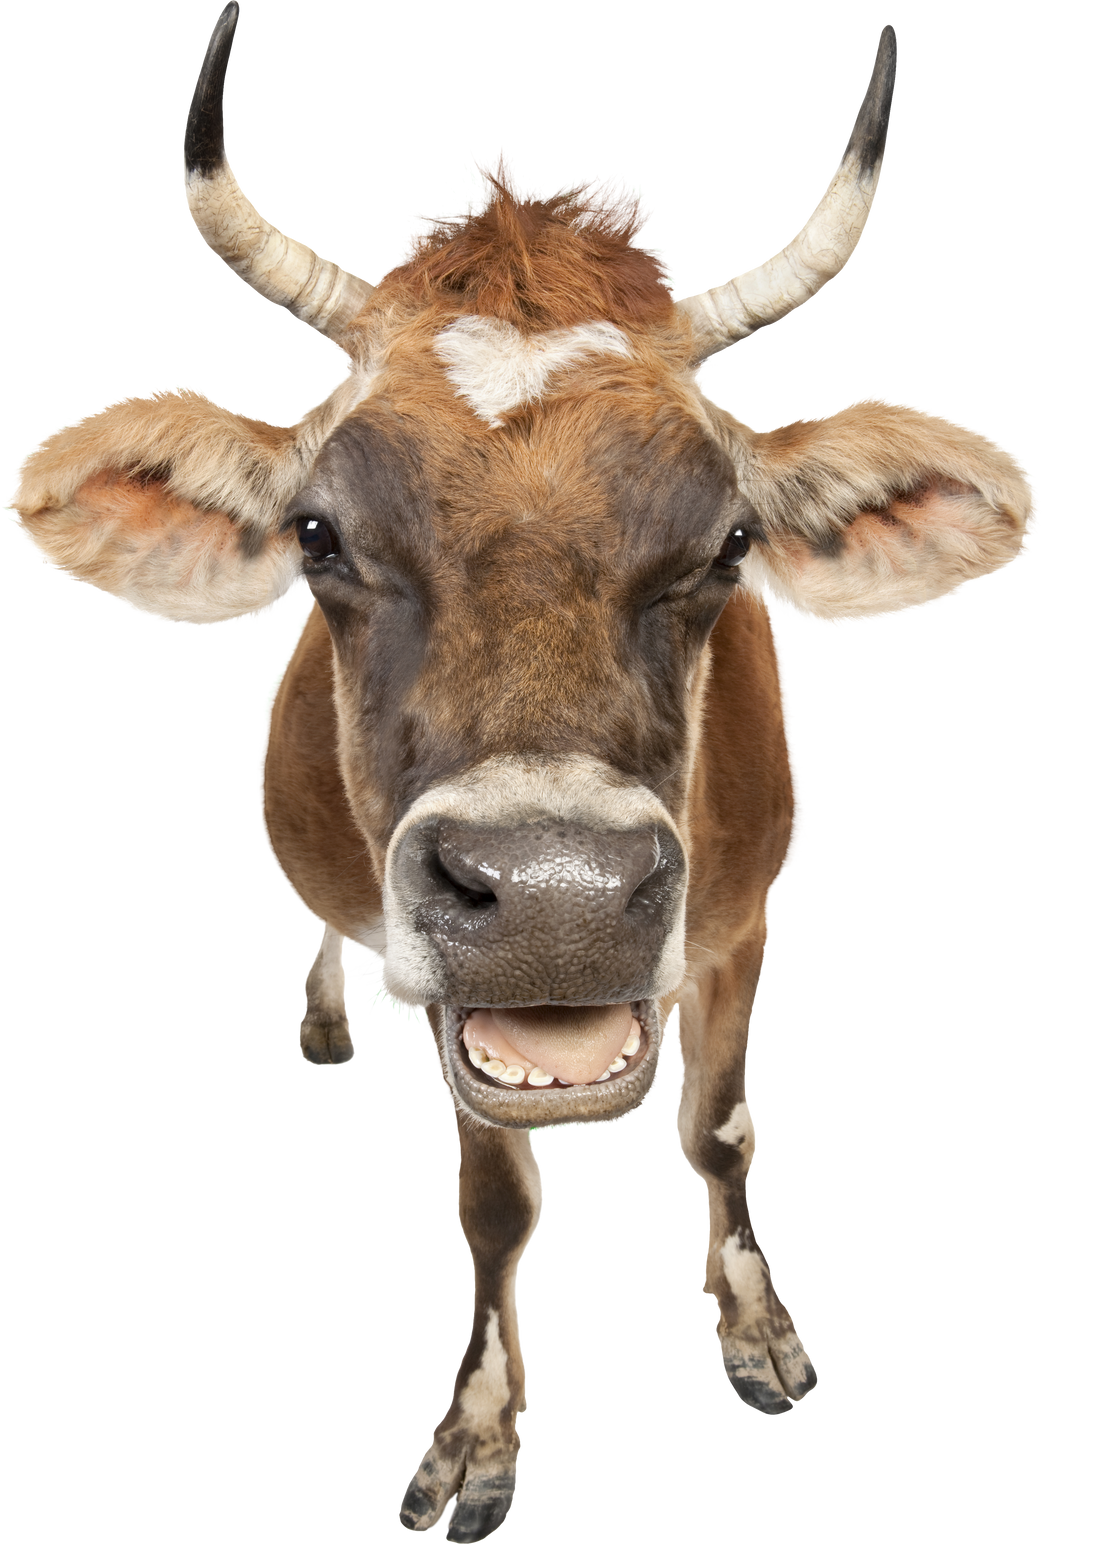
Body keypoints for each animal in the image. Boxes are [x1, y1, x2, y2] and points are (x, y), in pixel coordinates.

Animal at [6, 7, 1040, 1542]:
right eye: (316, 531)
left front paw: (756, 1328)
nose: (556, 893)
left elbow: (720, 1129)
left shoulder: (746, 917)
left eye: (731, 540)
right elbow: (496, 1205)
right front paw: (476, 1434)